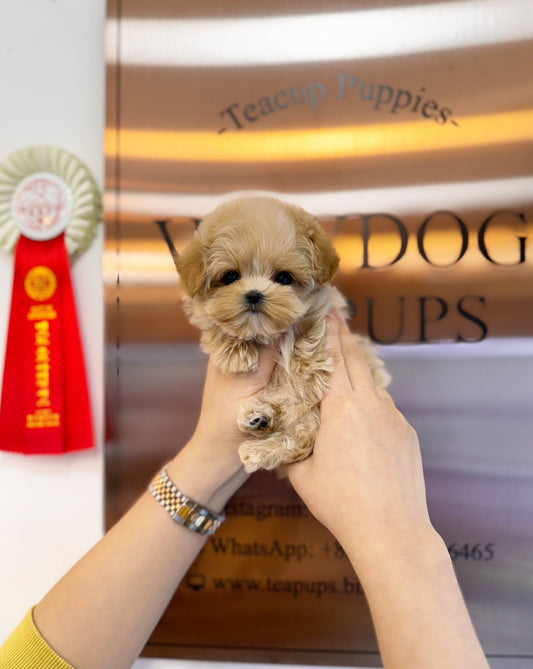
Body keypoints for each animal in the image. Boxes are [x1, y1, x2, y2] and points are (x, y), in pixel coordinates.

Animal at [177, 196, 388, 472]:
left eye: (284, 278)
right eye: (230, 276)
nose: (254, 294)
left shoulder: (322, 313)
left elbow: (305, 340)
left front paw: (301, 374)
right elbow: (214, 323)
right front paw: (236, 353)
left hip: (311, 420)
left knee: (301, 439)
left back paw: (258, 447)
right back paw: (260, 419)